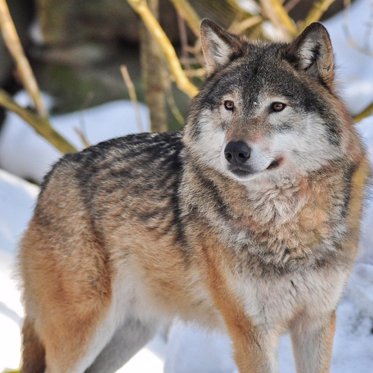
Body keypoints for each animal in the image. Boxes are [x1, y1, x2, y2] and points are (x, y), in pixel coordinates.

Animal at [18, 19, 370, 372]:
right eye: (229, 105)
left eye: (277, 107)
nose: (235, 151)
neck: (285, 227)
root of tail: (54, 172)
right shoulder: (251, 332)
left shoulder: (317, 323)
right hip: (84, 333)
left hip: (131, 333)